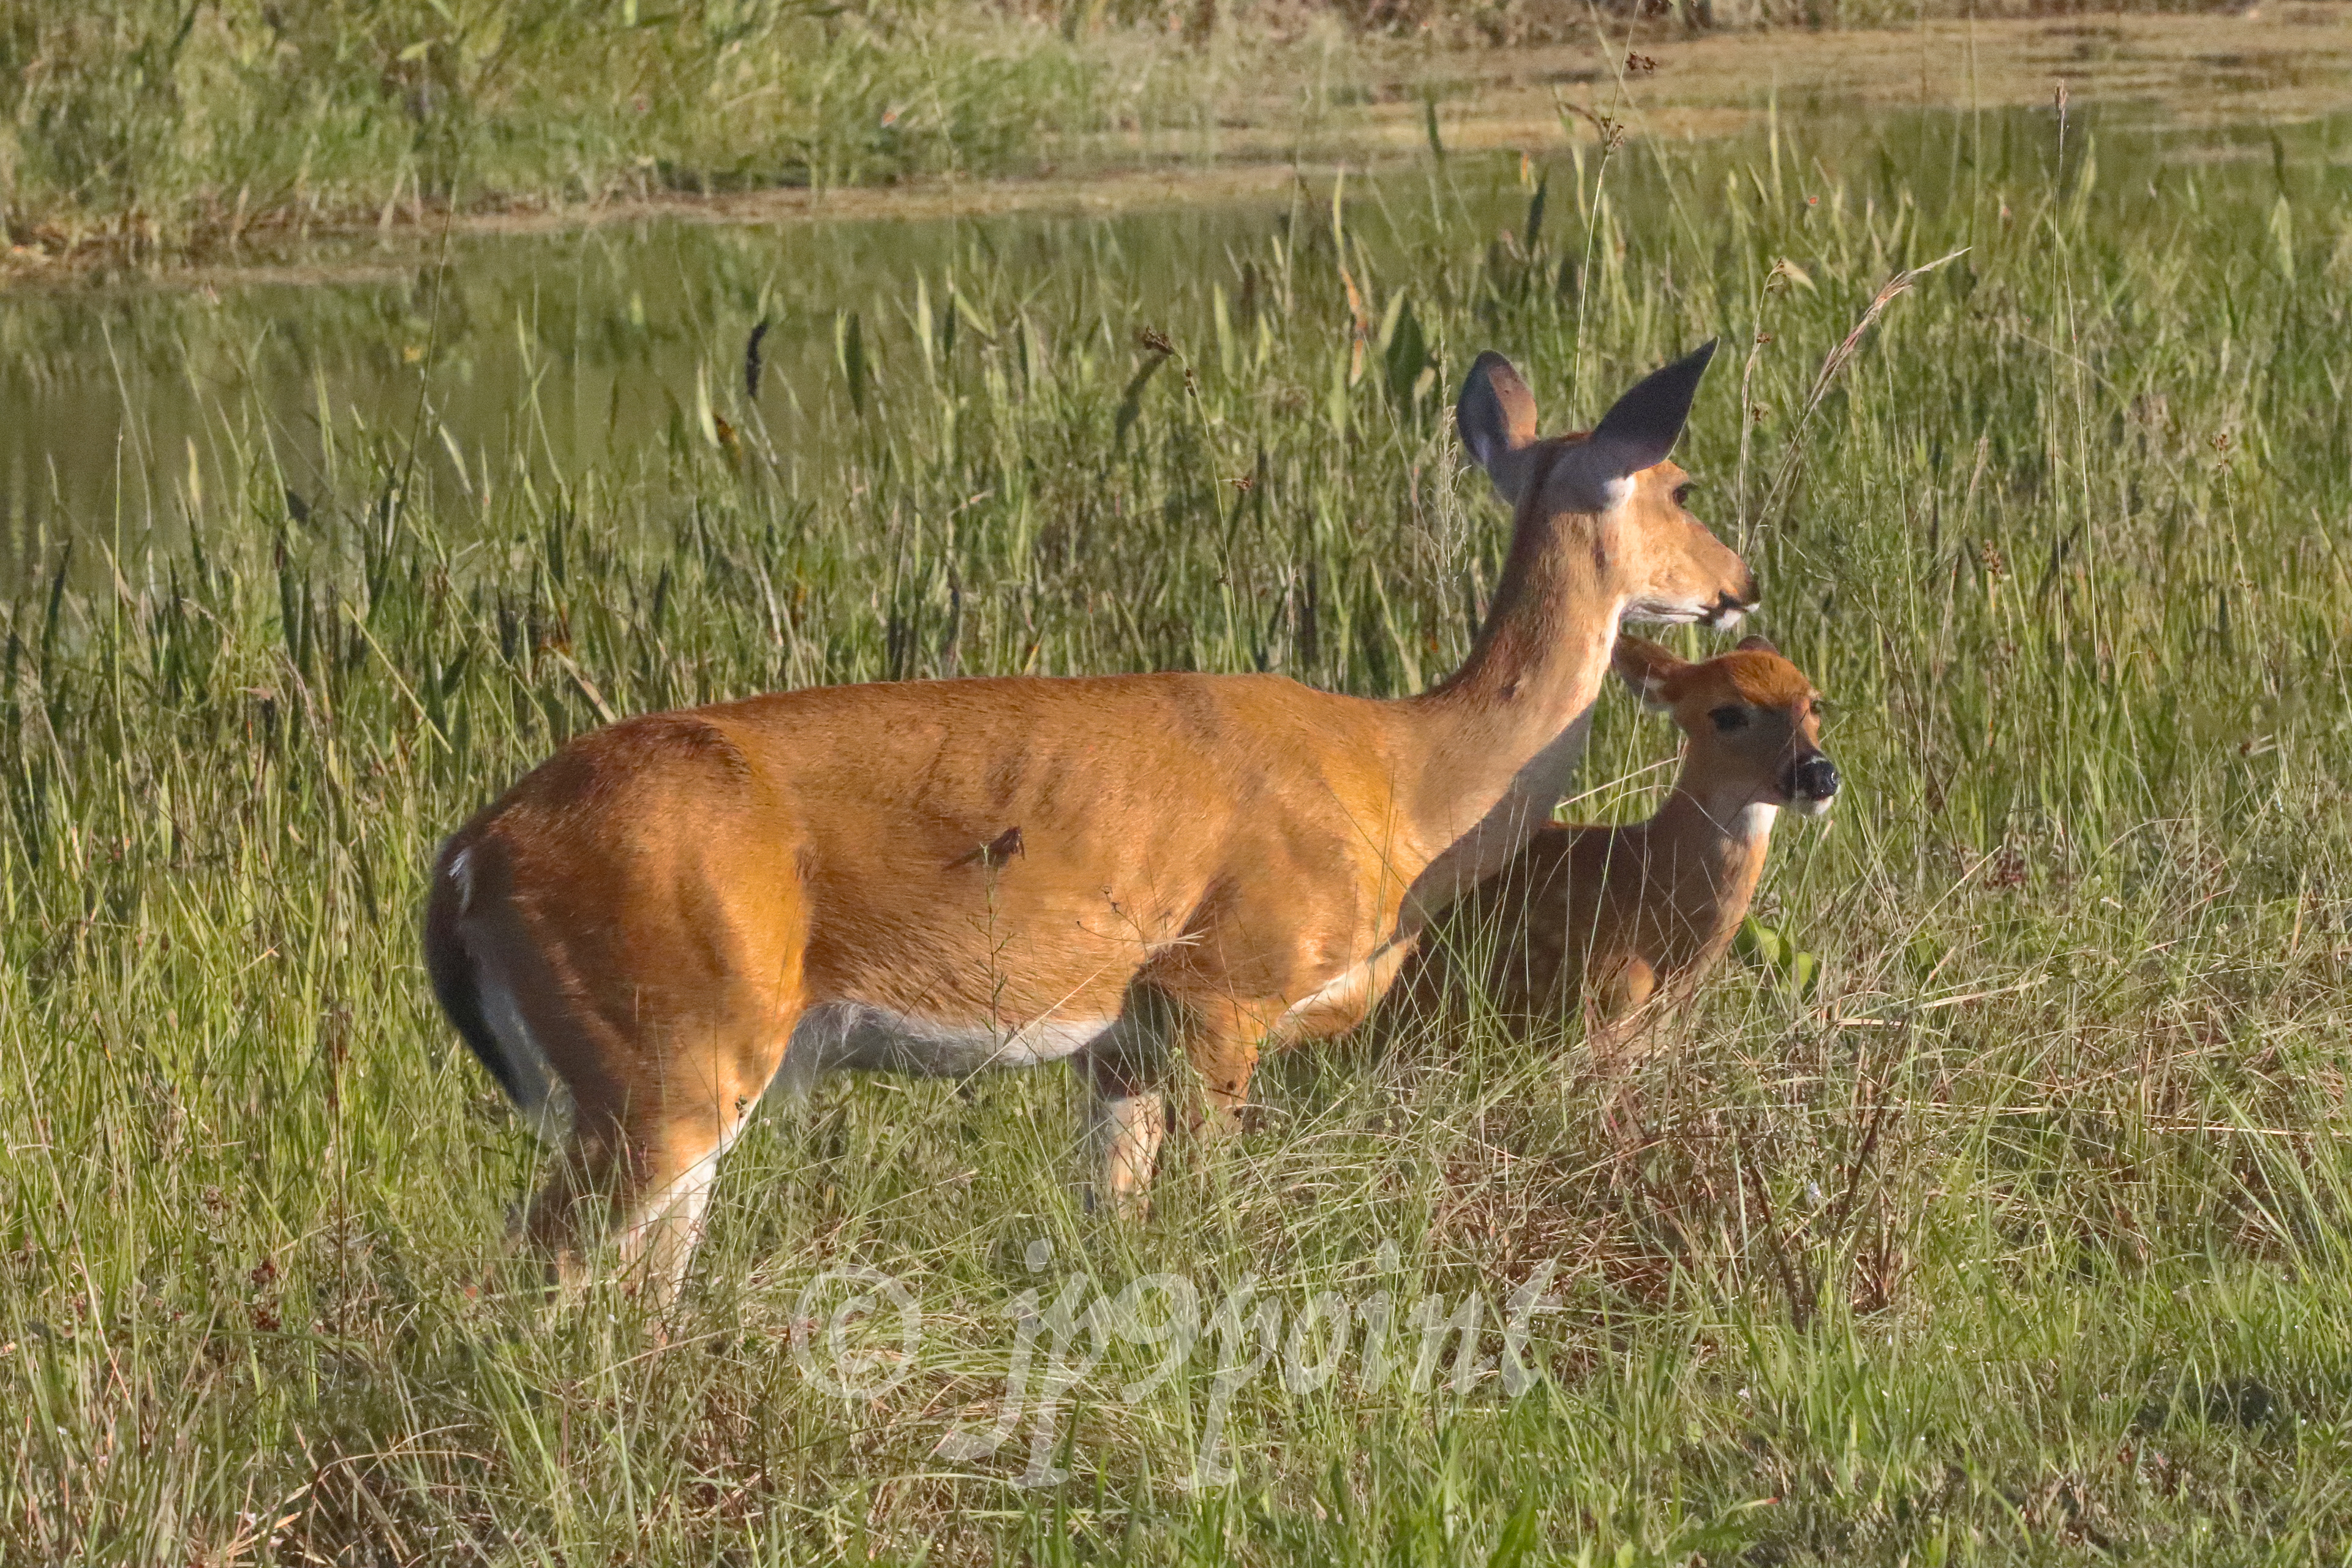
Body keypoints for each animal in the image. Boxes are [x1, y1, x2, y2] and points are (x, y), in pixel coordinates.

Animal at [421, 341, 1756, 1306]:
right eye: (1683, 486)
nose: (1740, 582)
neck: (1405, 780)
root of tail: (470, 856)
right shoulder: (1224, 988)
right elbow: (1214, 1214)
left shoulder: (1120, 1040)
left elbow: (1115, 1222)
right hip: (662, 1050)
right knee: (533, 1272)